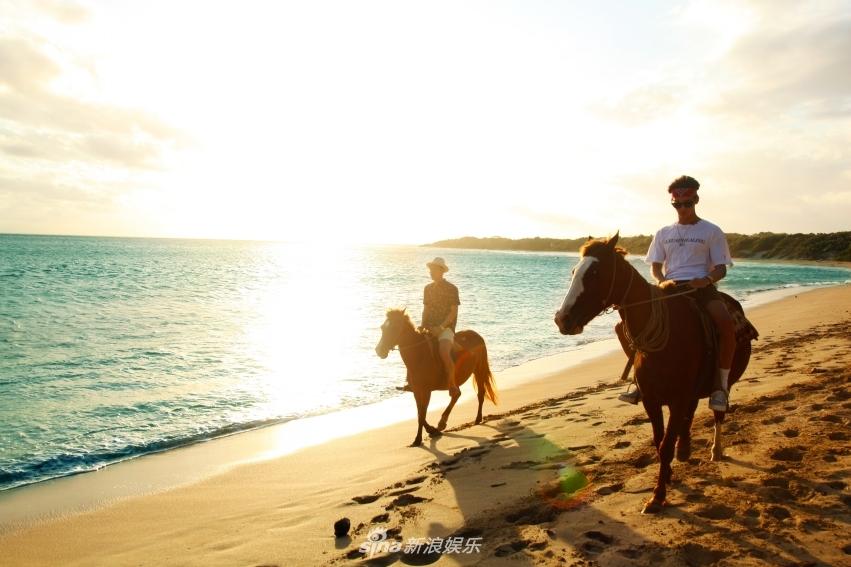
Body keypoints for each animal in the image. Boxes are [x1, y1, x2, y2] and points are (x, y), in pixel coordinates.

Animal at [374, 310, 500, 448]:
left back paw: (474, 419)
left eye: (395, 327)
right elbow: (419, 413)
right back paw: (443, 423)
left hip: (479, 370)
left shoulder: (426, 391)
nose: (379, 350)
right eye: (382, 327)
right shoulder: (417, 391)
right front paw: (431, 430)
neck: (419, 356)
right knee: (458, 395)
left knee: (476, 394)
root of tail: (477, 335)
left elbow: (422, 414)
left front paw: (418, 439)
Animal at [556, 234, 756, 516]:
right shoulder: (652, 400)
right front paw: (667, 476)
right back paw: (685, 449)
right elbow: (660, 441)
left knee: (718, 412)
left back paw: (716, 449)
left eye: (594, 272)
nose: (562, 319)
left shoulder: (678, 399)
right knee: (691, 414)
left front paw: (658, 496)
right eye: (575, 271)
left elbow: (665, 445)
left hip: (723, 382)